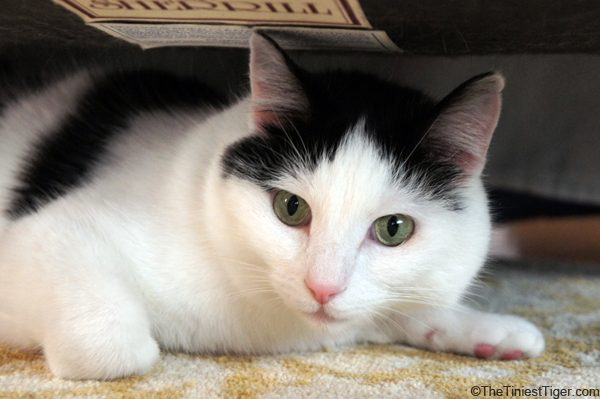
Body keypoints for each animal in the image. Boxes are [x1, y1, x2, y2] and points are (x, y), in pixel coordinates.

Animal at [0, 33, 544, 382]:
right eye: (290, 208)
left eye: (394, 228)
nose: (323, 288)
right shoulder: (47, 235)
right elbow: (115, 349)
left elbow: (404, 311)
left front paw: (486, 329)